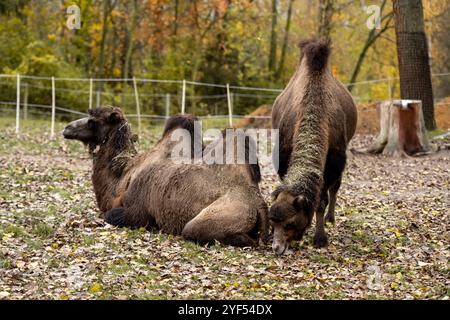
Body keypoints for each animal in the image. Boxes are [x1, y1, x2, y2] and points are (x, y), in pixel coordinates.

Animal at [62, 106, 268, 246]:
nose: (67, 128)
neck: (122, 175)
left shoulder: (137, 212)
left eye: (93, 121)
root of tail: (259, 202)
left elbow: (111, 215)